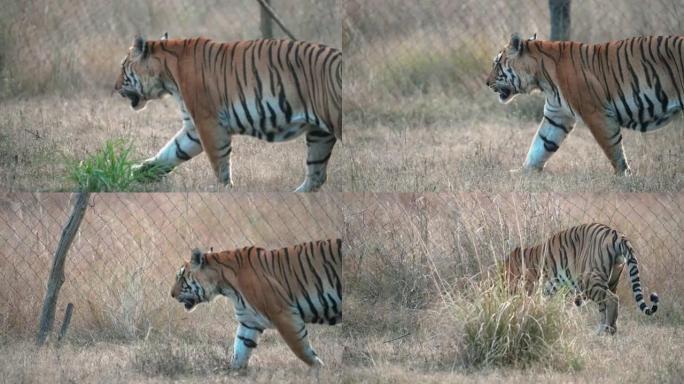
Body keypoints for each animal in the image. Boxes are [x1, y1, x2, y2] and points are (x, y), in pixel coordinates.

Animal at [115, 33, 344, 191]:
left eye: (123, 66)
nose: (115, 88)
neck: (168, 76)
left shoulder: (209, 123)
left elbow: (220, 165)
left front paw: (224, 191)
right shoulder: (193, 128)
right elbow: (171, 153)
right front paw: (136, 173)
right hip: (319, 134)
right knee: (317, 175)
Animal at [170, 238, 342, 368]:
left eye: (180, 277)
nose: (171, 294)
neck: (226, 286)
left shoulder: (284, 315)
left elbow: (302, 350)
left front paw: (320, 370)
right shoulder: (249, 321)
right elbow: (240, 350)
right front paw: (235, 372)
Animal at [486, 34, 684, 176]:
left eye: (496, 64)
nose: (487, 83)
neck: (542, 78)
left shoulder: (596, 113)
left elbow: (613, 148)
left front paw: (624, 176)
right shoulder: (557, 115)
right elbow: (541, 145)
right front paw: (523, 172)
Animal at [504, 224, 660, 334]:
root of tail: (616, 234)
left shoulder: (530, 286)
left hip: (589, 280)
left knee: (612, 299)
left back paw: (608, 330)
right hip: (611, 279)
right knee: (605, 305)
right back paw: (604, 329)